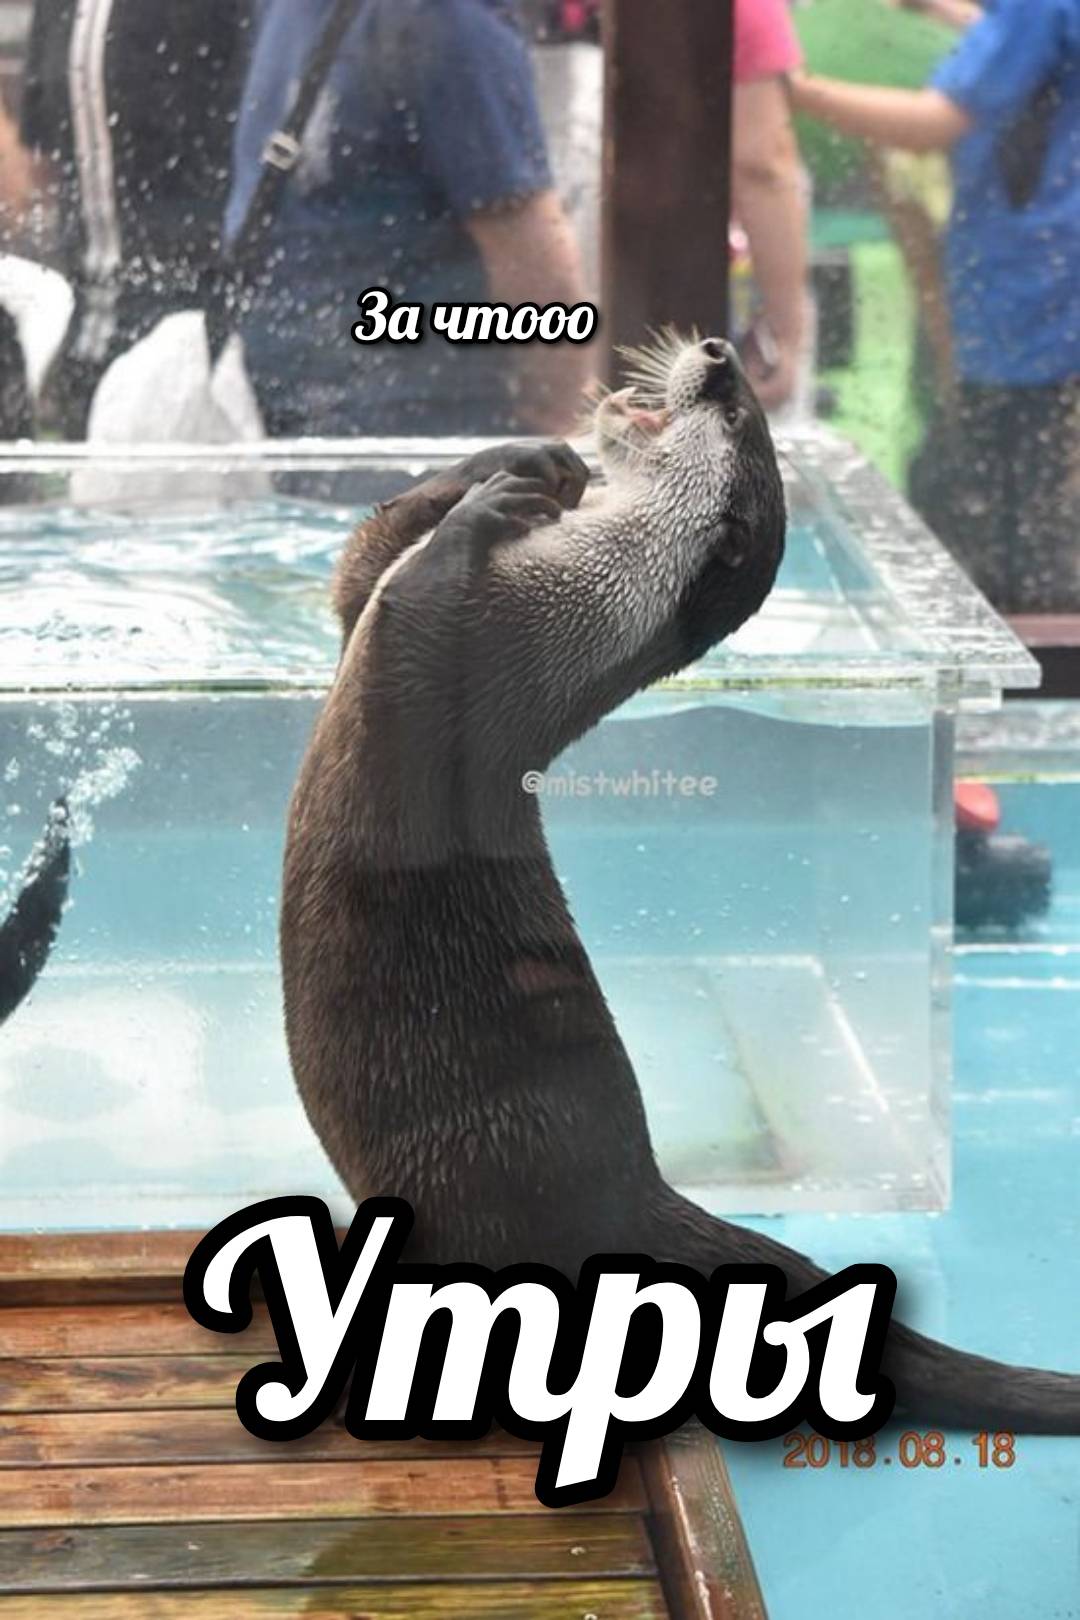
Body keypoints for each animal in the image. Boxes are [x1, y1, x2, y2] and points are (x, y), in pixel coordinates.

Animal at [281, 333, 1080, 1433]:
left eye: (737, 412)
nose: (717, 349)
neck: (570, 595)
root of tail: (640, 1195)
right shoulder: (402, 609)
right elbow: (360, 576)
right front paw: (519, 462)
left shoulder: (482, 658)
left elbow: (408, 613)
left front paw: (486, 511)